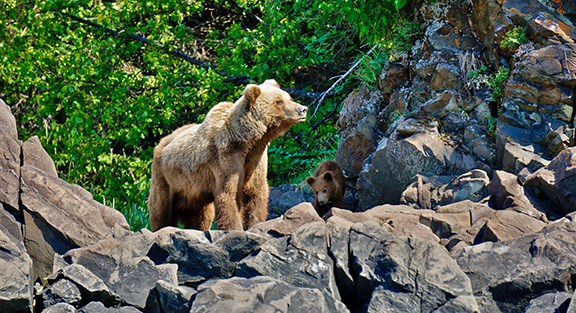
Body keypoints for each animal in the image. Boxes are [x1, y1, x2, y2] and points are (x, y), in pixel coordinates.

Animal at [151, 79, 308, 230]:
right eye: (279, 101)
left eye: (289, 97)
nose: (303, 109)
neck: (246, 141)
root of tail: (162, 141)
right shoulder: (226, 157)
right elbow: (229, 194)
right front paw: (236, 228)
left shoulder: (256, 159)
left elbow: (256, 193)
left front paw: (255, 223)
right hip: (166, 177)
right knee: (161, 209)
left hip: (194, 191)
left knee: (201, 216)